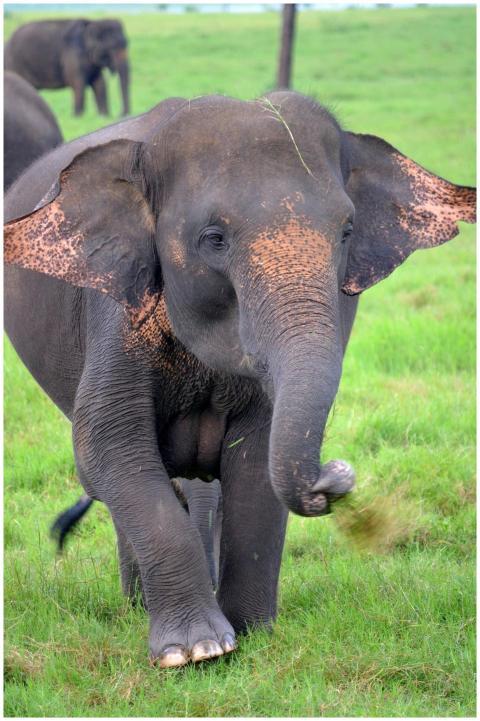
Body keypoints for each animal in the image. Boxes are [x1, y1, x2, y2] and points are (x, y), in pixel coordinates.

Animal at [4, 92, 475, 668]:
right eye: (214, 238)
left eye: (346, 231)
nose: (334, 477)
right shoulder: (116, 314)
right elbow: (108, 444)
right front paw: (196, 652)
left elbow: (256, 458)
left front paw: (252, 635)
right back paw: (139, 606)